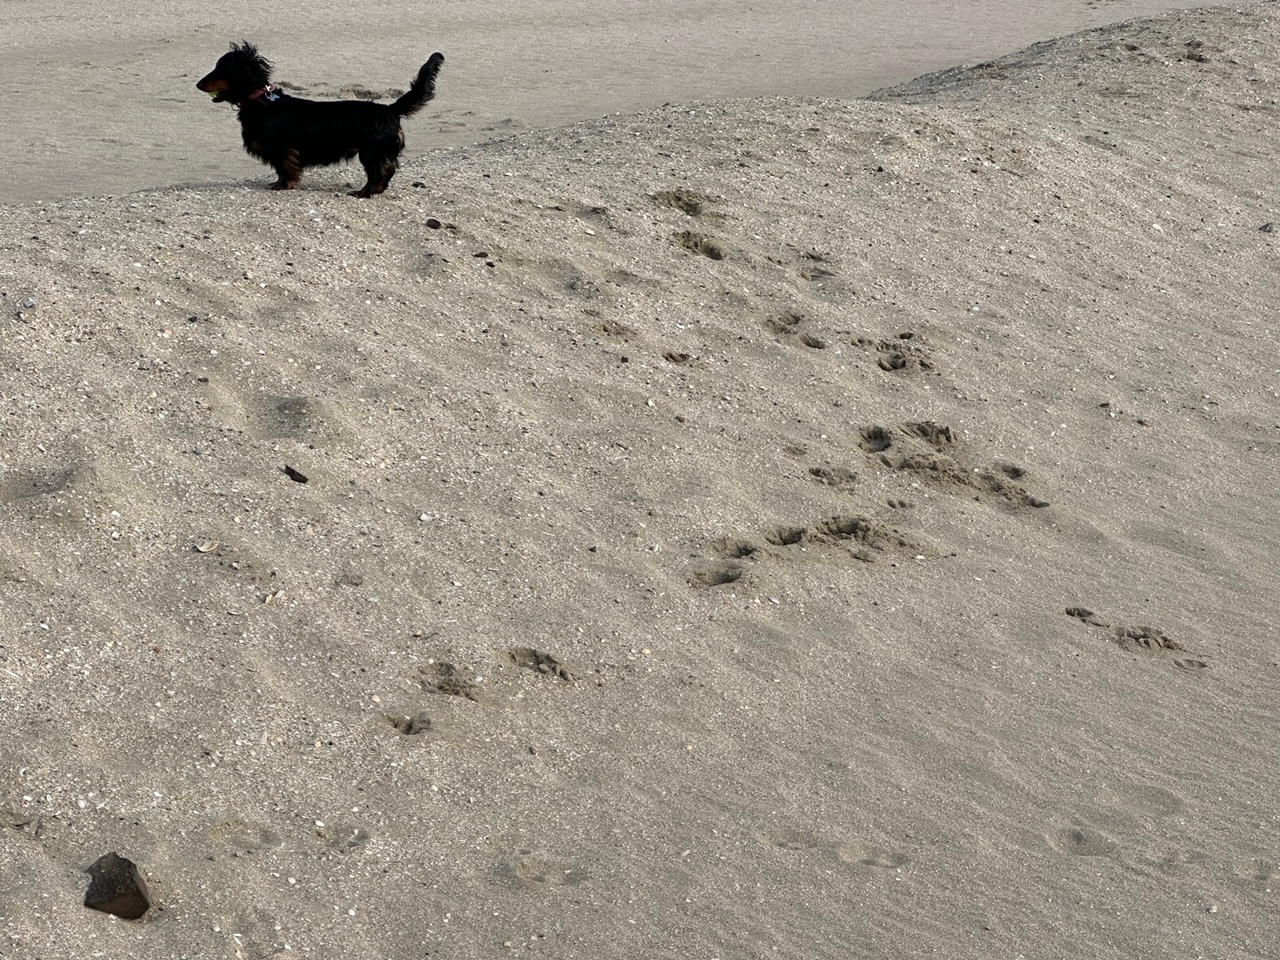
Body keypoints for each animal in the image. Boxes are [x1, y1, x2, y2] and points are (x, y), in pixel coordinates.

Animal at [195, 43, 445, 197]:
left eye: (220, 69)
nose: (198, 84)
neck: (262, 102)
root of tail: (389, 110)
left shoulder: (282, 150)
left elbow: (285, 169)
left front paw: (282, 186)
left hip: (371, 152)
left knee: (380, 172)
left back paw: (364, 193)